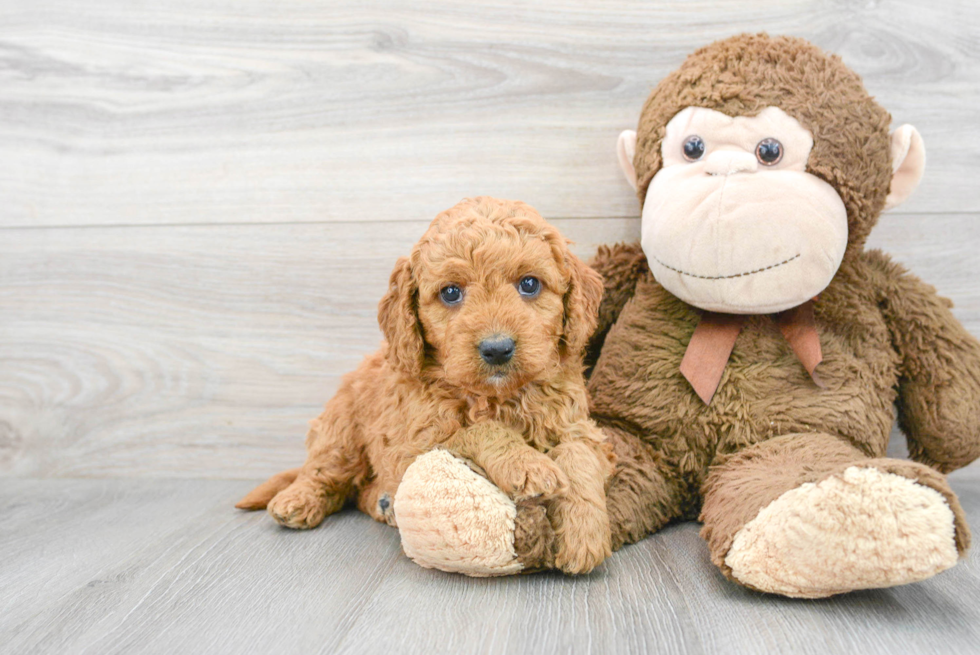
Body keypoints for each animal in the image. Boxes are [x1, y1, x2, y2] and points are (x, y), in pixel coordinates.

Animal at [237, 196, 612, 576]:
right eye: (450, 293)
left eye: (530, 284)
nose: (497, 348)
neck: (497, 397)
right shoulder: (416, 444)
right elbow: (481, 430)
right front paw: (527, 464)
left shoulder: (578, 425)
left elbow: (579, 457)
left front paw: (584, 535)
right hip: (340, 429)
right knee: (323, 472)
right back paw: (297, 500)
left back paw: (381, 503)